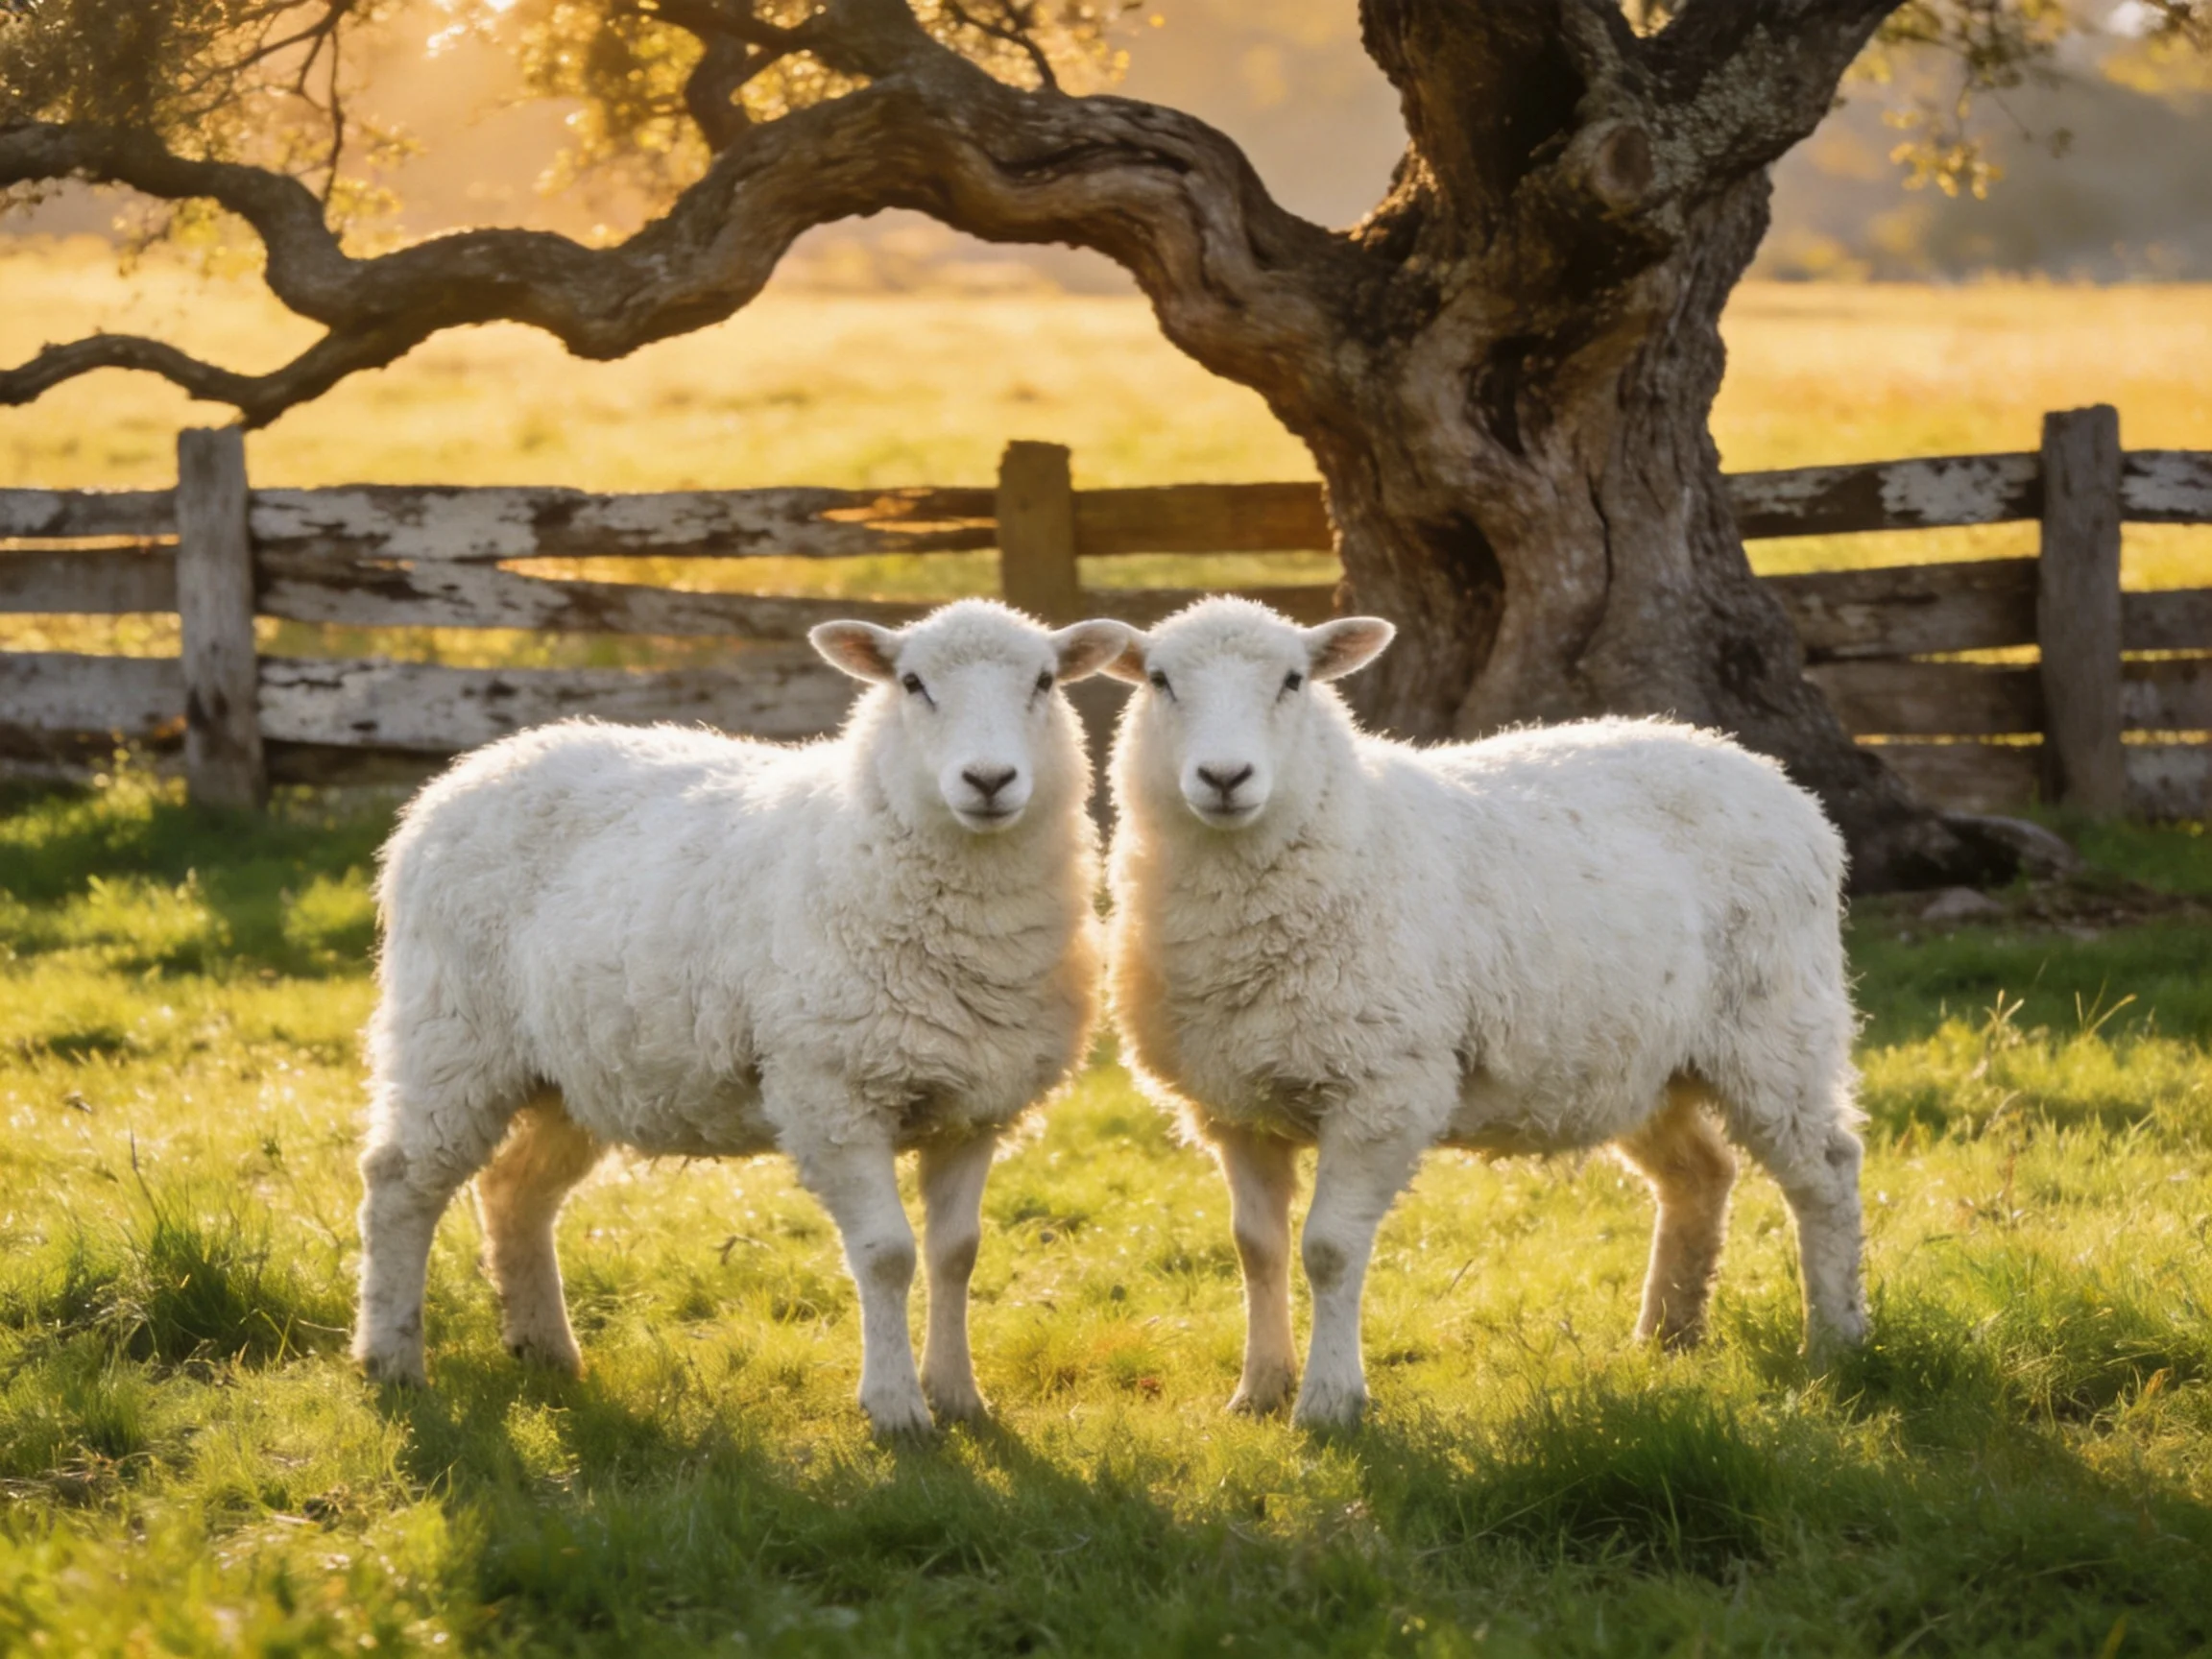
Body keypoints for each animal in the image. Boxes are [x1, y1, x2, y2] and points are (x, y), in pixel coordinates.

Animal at [351, 599, 1134, 1435]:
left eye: (1044, 682)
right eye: (913, 683)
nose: (989, 780)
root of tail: (472, 768)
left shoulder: (972, 1108)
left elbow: (957, 1253)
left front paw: (959, 1395)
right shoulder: (830, 1093)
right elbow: (888, 1254)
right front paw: (896, 1408)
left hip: (572, 1069)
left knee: (514, 1191)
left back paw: (548, 1351)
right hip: (451, 1032)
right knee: (398, 1184)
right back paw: (391, 1360)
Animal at [1102, 596, 1867, 1428]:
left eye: (1293, 681)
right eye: (1159, 680)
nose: (1224, 776)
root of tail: (1764, 770)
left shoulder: (1385, 1089)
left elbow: (1328, 1250)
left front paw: (1330, 1403)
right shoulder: (1234, 1106)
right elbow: (1256, 1248)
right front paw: (1259, 1390)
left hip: (1776, 1027)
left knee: (1827, 1172)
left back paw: (1836, 1341)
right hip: (1636, 1058)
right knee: (1700, 1174)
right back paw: (1666, 1335)